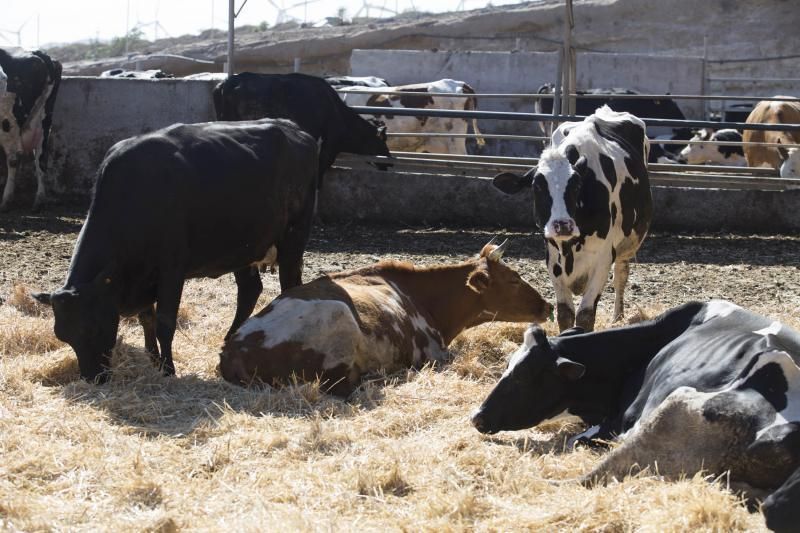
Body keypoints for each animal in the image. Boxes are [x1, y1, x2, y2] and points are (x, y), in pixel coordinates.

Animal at [0, 47, 62, 210]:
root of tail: (37, 53)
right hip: (44, 122)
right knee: (41, 159)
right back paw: (39, 200)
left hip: (9, 123)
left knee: (14, 159)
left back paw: (6, 200)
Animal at [33, 118, 322, 380]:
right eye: (63, 336)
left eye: (93, 328)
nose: (93, 378)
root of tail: (295, 129)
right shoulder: (143, 276)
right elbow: (147, 319)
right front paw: (153, 359)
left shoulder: (171, 269)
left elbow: (164, 323)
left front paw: (168, 369)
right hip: (242, 249)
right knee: (250, 292)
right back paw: (229, 339)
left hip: (293, 241)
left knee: (290, 288)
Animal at [490, 105, 652, 330]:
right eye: (537, 187)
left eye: (576, 185)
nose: (562, 225)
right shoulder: (552, 258)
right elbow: (565, 313)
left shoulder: (603, 258)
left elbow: (585, 315)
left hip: (627, 244)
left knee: (621, 275)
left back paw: (618, 316)